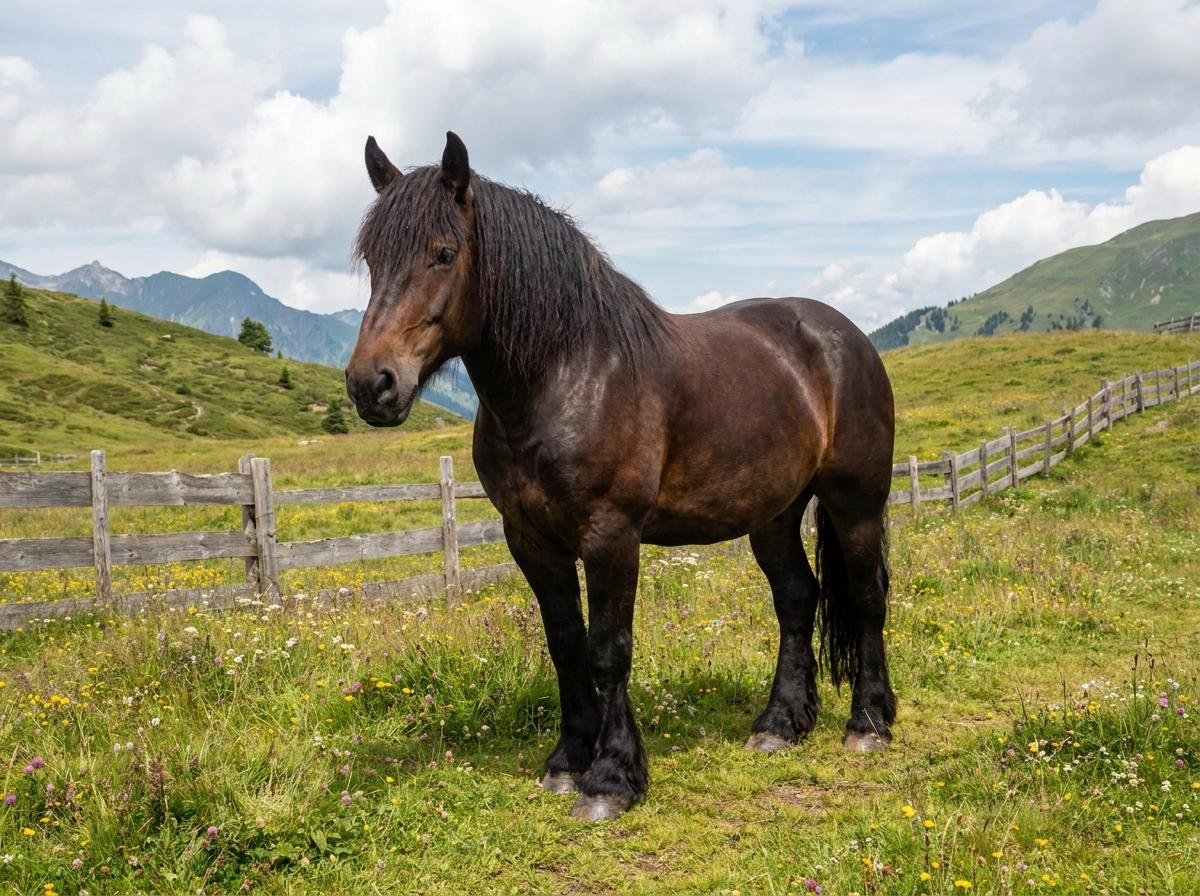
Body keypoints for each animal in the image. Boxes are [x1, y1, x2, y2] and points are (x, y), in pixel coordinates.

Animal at [346, 132, 896, 821]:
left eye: (443, 254)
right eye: (372, 259)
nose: (372, 385)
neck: (570, 375)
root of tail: (845, 337)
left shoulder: (611, 534)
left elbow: (610, 649)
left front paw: (610, 778)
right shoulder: (531, 540)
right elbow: (566, 643)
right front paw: (566, 761)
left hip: (856, 502)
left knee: (868, 595)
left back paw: (869, 724)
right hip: (773, 514)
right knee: (797, 598)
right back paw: (779, 724)